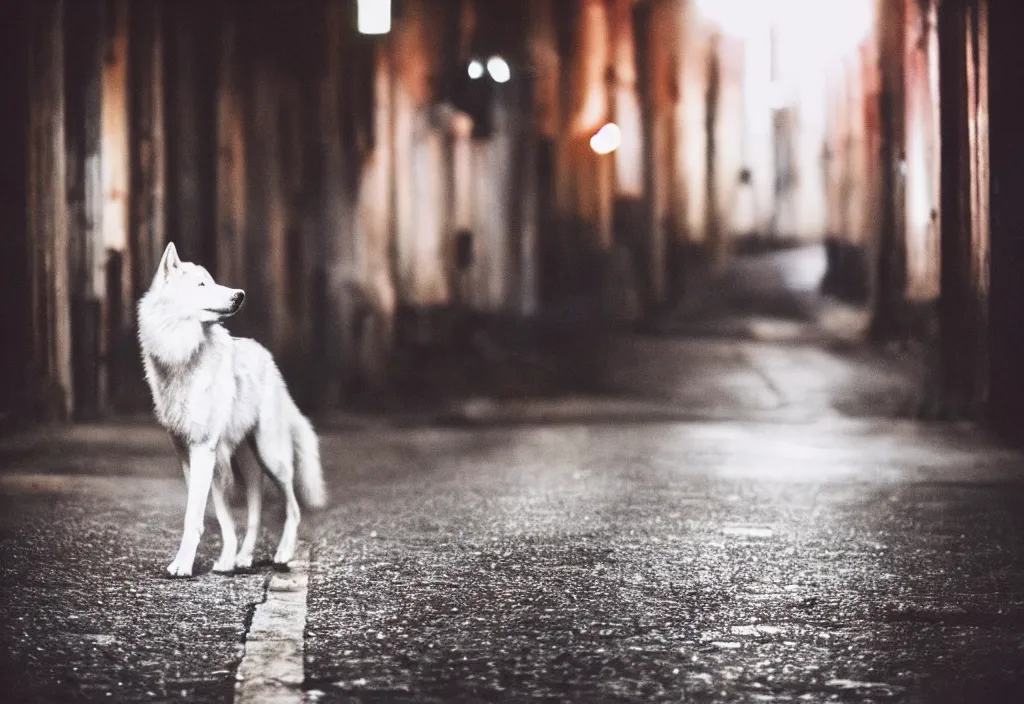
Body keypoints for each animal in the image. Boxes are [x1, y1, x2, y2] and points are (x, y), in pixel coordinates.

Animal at [138, 241, 325, 577]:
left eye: (212, 282)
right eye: (202, 285)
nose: (240, 295)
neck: (182, 353)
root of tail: (268, 359)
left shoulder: (203, 449)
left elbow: (194, 517)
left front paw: (183, 566)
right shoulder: (188, 453)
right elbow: (211, 515)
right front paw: (209, 559)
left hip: (271, 458)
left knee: (293, 508)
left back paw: (283, 554)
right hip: (240, 462)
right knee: (253, 513)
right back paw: (237, 559)